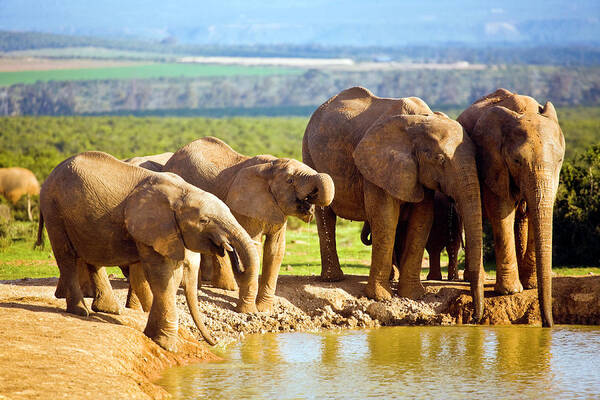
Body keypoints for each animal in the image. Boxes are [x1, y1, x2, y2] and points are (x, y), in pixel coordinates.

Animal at [35, 150, 260, 350]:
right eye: (205, 221)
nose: (216, 343)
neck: (183, 192)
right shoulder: (149, 226)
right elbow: (161, 275)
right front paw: (165, 344)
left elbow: (170, 275)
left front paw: (154, 336)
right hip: (53, 209)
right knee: (66, 256)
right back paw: (81, 312)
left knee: (93, 254)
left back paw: (110, 310)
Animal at [162, 138, 336, 312]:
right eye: (290, 180)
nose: (312, 198)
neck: (271, 166)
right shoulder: (246, 207)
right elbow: (255, 247)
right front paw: (248, 311)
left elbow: (275, 250)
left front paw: (264, 310)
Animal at [302, 87, 486, 322]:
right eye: (440, 160)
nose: (475, 318)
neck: (420, 121)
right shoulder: (378, 165)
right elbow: (386, 217)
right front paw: (380, 297)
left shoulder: (418, 173)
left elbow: (422, 220)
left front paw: (413, 295)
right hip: (310, 154)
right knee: (326, 215)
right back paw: (333, 279)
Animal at [458, 89, 564, 326]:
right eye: (516, 161)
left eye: (560, 160)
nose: (548, 325)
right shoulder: (493, 162)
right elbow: (501, 210)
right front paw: (510, 291)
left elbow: (538, 209)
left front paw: (531, 286)